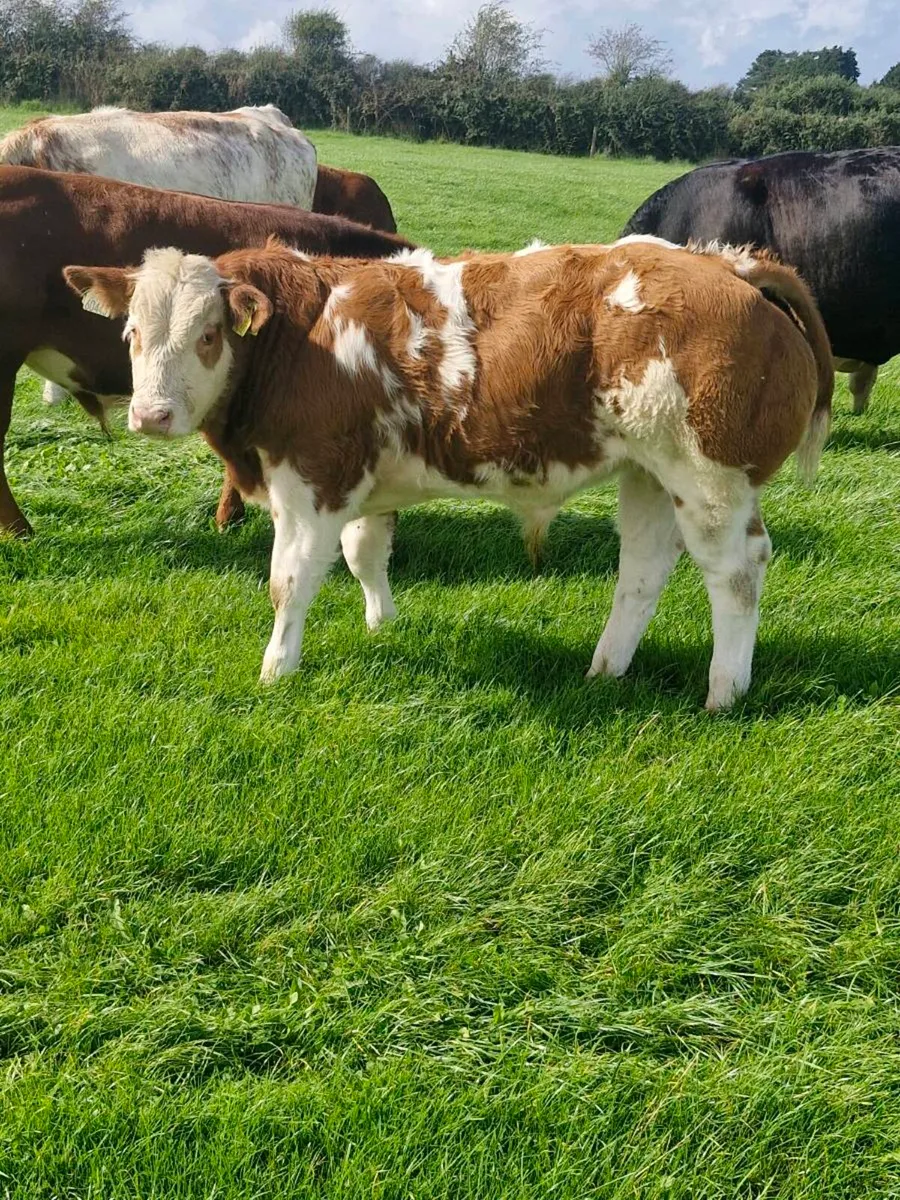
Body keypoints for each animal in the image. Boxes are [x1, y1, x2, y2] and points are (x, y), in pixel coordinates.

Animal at [65, 236, 834, 710]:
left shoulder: (313, 480)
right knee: (643, 571)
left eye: (208, 334)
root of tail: (729, 266)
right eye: (132, 334)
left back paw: (724, 691)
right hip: (648, 473)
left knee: (736, 572)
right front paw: (382, 626)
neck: (299, 335)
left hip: (710, 479)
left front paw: (277, 670)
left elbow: (291, 582)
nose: (151, 415)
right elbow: (365, 554)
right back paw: (604, 670)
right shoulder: (367, 480)